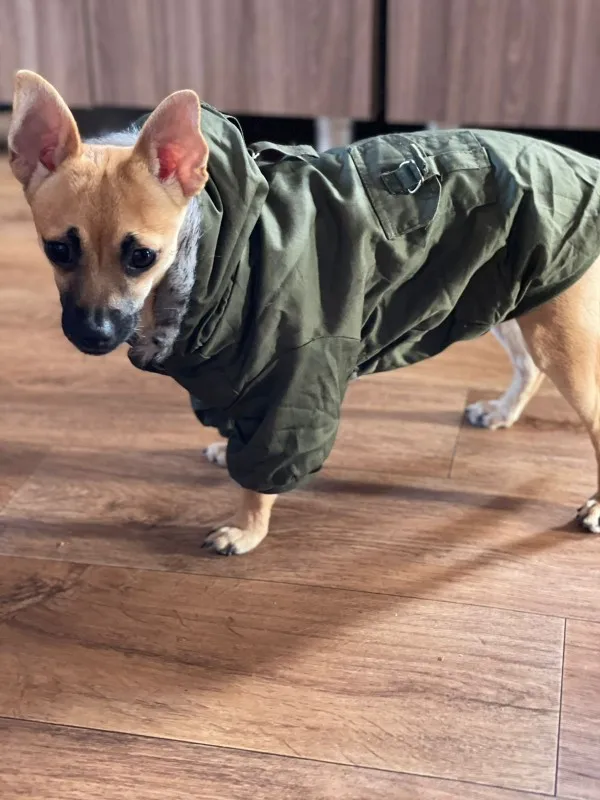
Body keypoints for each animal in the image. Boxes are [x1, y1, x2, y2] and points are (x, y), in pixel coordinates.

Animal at [8, 70, 600, 555]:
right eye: (57, 250)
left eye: (141, 257)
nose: (92, 334)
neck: (216, 248)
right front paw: (227, 449)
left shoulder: (292, 380)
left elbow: (263, 469)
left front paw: (247, 528)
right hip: (510, 298)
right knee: (528, 369)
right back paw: (503, 411)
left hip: (559, 334)